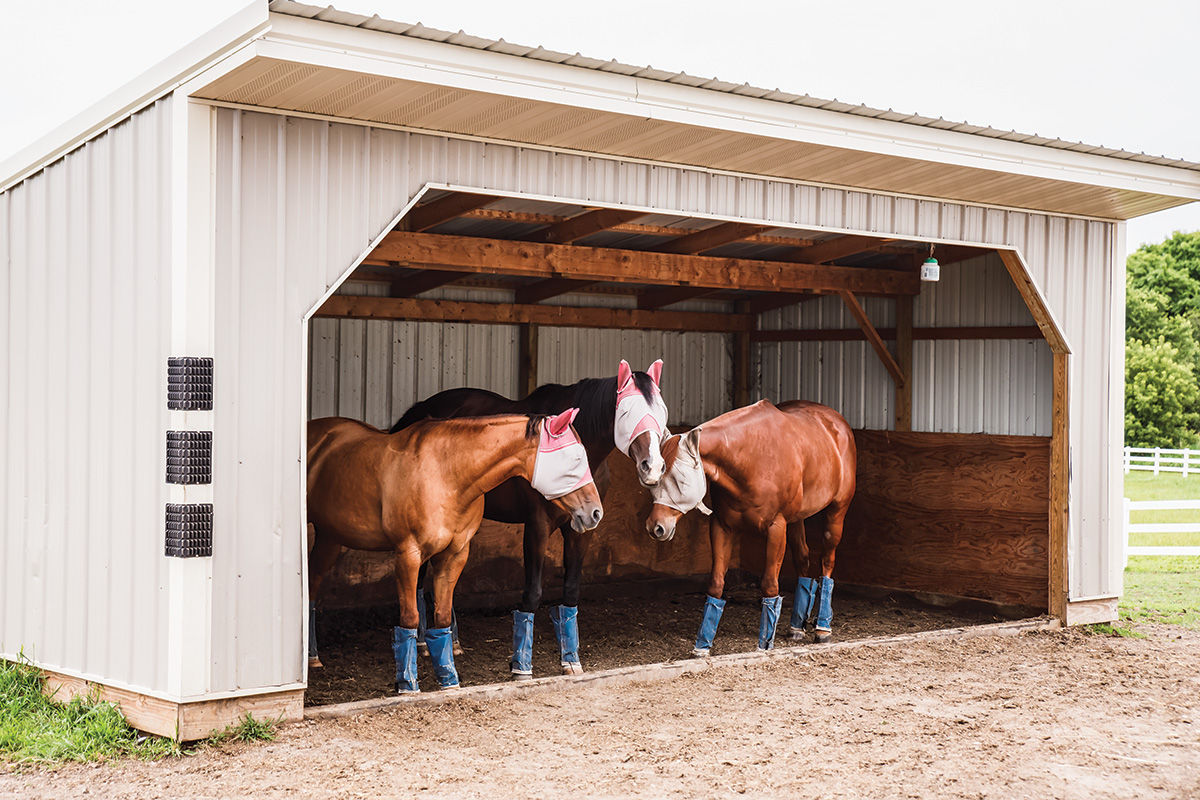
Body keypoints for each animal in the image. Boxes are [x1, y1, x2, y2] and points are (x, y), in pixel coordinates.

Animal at [309, 410, 604, 690]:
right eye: (576, 459)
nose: (595, 513)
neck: (446, 474)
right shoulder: (408, 553)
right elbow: (410, 616)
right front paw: (407, 684)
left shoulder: (455, 554)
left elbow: (441, 616)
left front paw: (448, 679)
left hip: (329, 537)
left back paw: (312, 657)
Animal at [391, 359, 667, 681]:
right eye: (625, 413)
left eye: (661, 412)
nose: (653, 467)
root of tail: (418, 411)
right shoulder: (537, 526)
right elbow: (533, 592)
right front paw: (521, 666)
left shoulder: (582, 529)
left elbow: (571, 590)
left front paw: (570, 660)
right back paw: (424, 642)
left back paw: (453, 641)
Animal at [648, 400, 854, 657]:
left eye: (679, 480)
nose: (655, 527)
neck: (751, 458)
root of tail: (837, 421)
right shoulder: (722, 527)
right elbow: (716, 584)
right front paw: (702, 646)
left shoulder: (776, 528)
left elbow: (769, 584)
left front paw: (765, 644)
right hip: (796, 520)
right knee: (802, 558)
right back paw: (797, 627)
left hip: (837, 512)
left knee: (827, 561)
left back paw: (822, 629)